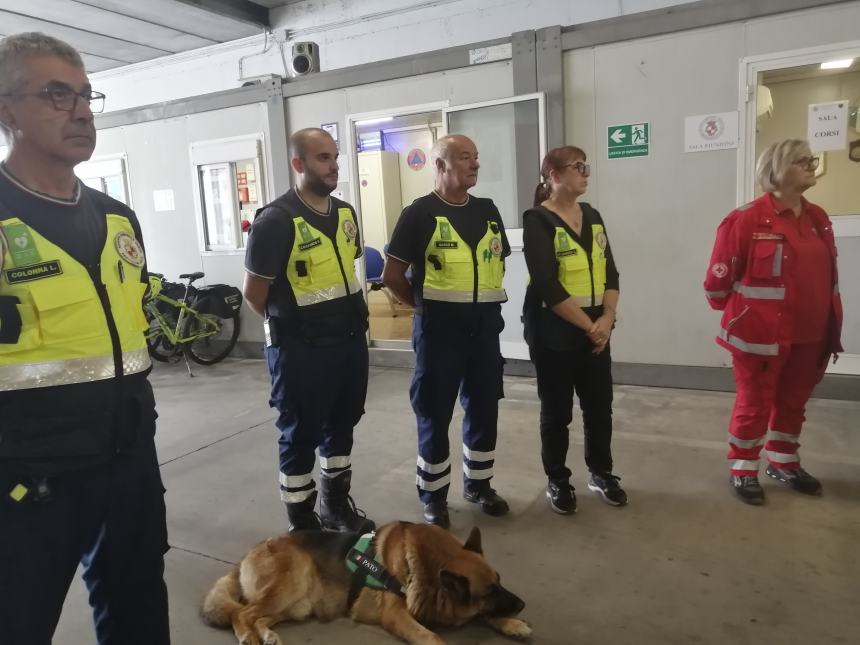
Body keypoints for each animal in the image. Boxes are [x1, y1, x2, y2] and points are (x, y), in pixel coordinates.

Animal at [202, 520, 532, 640]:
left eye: (499, 583)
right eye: (489, 591)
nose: (522, 604)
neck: (426, 567)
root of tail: (247, 554)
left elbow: (486, 615)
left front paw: (512, 624)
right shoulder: (396, 615)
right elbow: (431, 636)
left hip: (295, 605)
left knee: (257, 616)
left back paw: (268, 636)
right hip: (291, 583)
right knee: (242, 614)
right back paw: (248, 637)